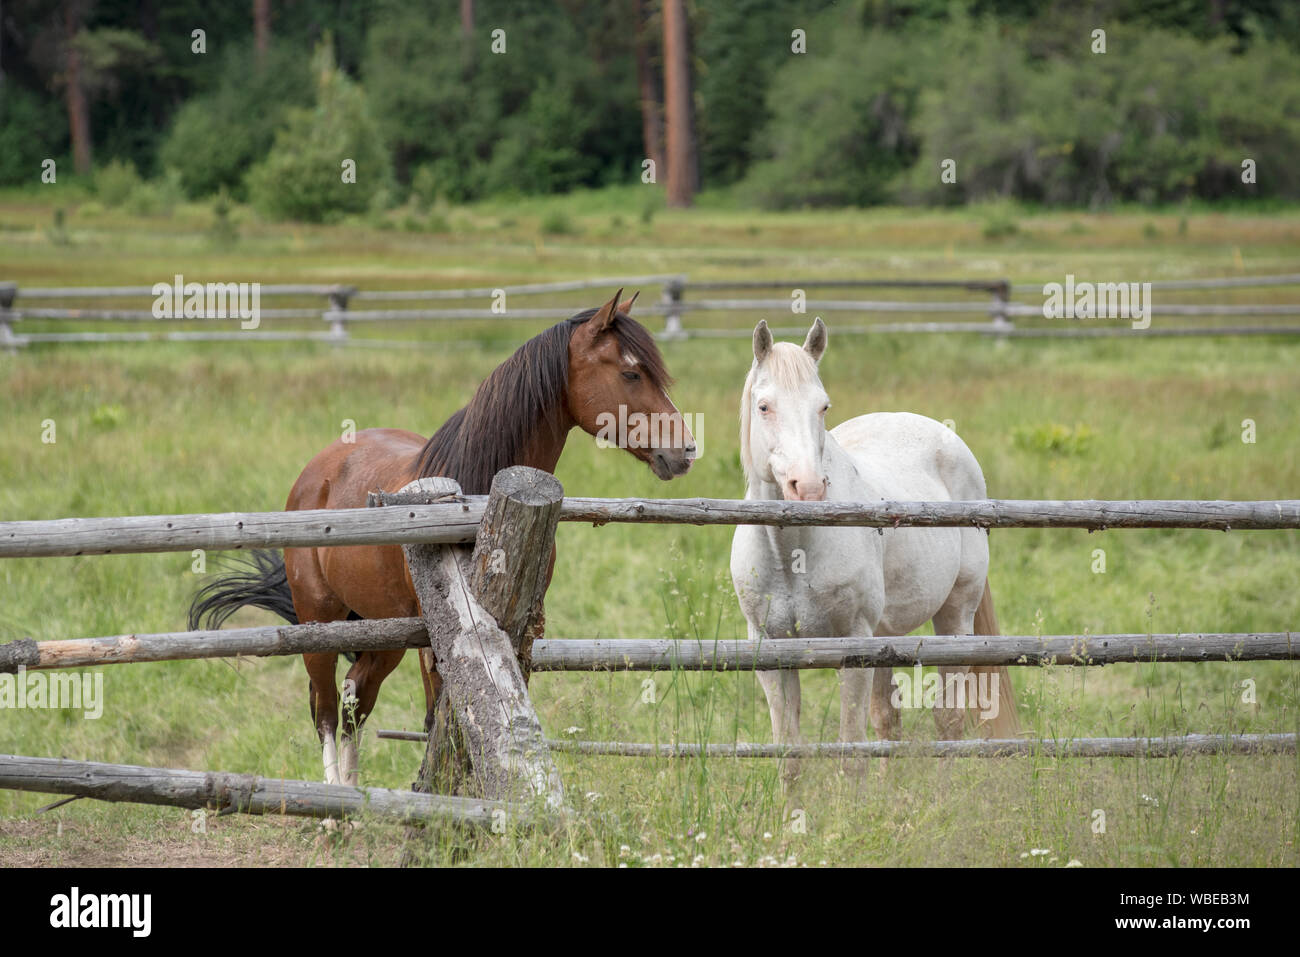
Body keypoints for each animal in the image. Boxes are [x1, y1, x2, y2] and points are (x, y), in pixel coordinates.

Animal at [189, 290, 697, 784]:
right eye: (631, 372)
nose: (686, 449)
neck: (476, 501)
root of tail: (319, 470)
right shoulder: (440, 639)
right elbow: (442, 722)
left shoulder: (521, 633)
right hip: (321, 622)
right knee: (328, 711)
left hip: (384, 631)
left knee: (355, 697)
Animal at [730, 317, 1019, 787]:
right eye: (764, 407)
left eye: (823, 407)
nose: (808, 488)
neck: (792, 554)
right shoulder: (770, 655)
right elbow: (790, 756)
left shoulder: (853, 649)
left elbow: (851, 754)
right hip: (886, 635)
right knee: (888, 720)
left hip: (955, 618)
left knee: (948, 720)